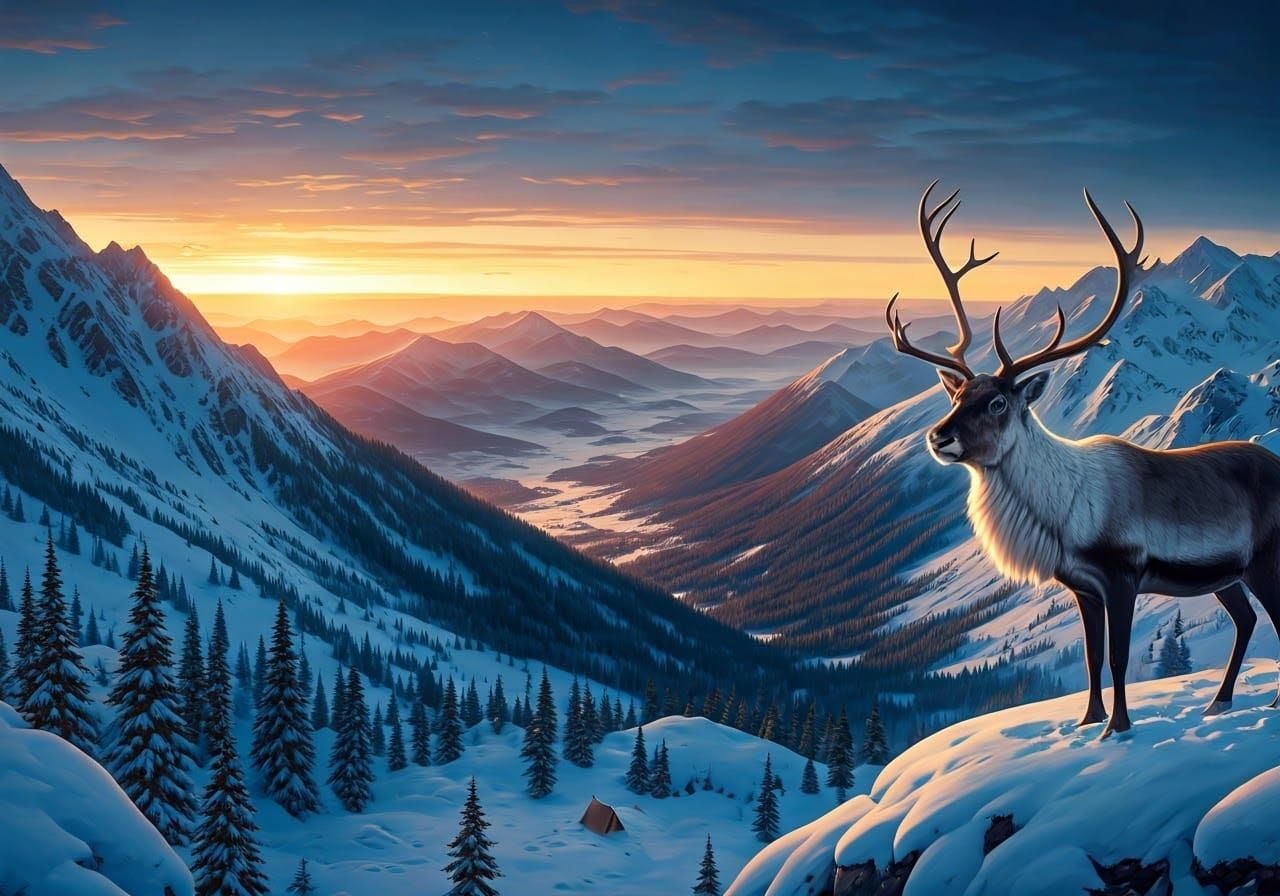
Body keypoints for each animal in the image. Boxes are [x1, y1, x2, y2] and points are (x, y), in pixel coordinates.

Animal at [886, 181, 1280, 738]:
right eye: (956, 395)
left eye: (998, 402)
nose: (938, 437)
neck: (1062, 517)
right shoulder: (1082, 587)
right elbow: (1093, 658)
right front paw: (1085, 722)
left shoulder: (1123, 575)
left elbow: (1117, 658)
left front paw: (1118, 727)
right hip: (1229, 575)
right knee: (1245, 620)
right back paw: (1219, 703)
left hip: (1267, 559)